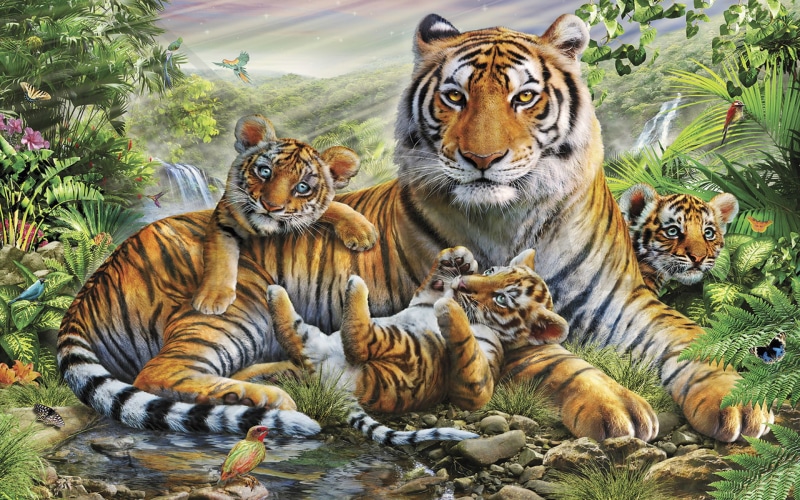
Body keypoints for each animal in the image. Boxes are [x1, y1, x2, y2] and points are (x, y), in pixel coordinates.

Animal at [192, 114, 378, 315]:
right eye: (265, 171)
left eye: (302, 187)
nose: (270, 206)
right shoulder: (224, 218)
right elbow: (220, 257)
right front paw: (212, 297)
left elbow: (334, 206)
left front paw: (362, 232)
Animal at [268, 246, 568, 416]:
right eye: (491, 270)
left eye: (502, 299)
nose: (462, 284)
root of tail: (335, 384)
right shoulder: (423, 298)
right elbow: (432, 285)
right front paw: (457, 257)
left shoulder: (478, 387)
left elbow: (468, 352)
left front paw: (450, 308)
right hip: (315, 341)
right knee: (293, 337)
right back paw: (275, 292)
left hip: (406, 350)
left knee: (360, 342)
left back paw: (356, 285)